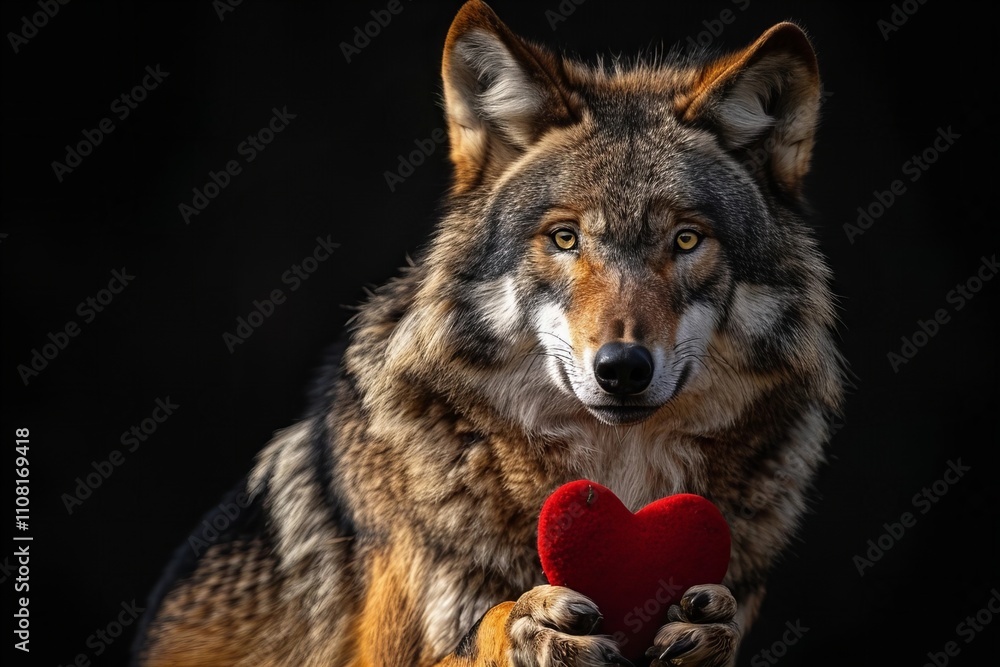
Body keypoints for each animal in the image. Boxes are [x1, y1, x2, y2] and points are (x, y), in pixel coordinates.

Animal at [133, 2, 844, 665]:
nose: (622, 367)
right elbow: (487, 628)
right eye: (565, 238)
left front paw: (706, 630)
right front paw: (528, 628)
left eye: (687, 240)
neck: (619, 479)